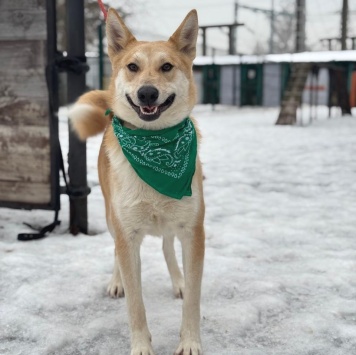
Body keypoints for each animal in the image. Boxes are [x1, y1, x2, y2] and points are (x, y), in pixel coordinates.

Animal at [68, 8, 204, 355]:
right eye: (132, 67)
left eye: (167, 66)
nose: (147, 93)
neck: (155, 148)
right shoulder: (127, 234)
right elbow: (135, 304)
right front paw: (141, 346)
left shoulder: (193, 231)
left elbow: (193, 298)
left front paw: (190, 341)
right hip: (110, 216)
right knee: (116, 253)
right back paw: (116, 282)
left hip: (172, 222)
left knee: (168, 246)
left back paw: (177, 280)